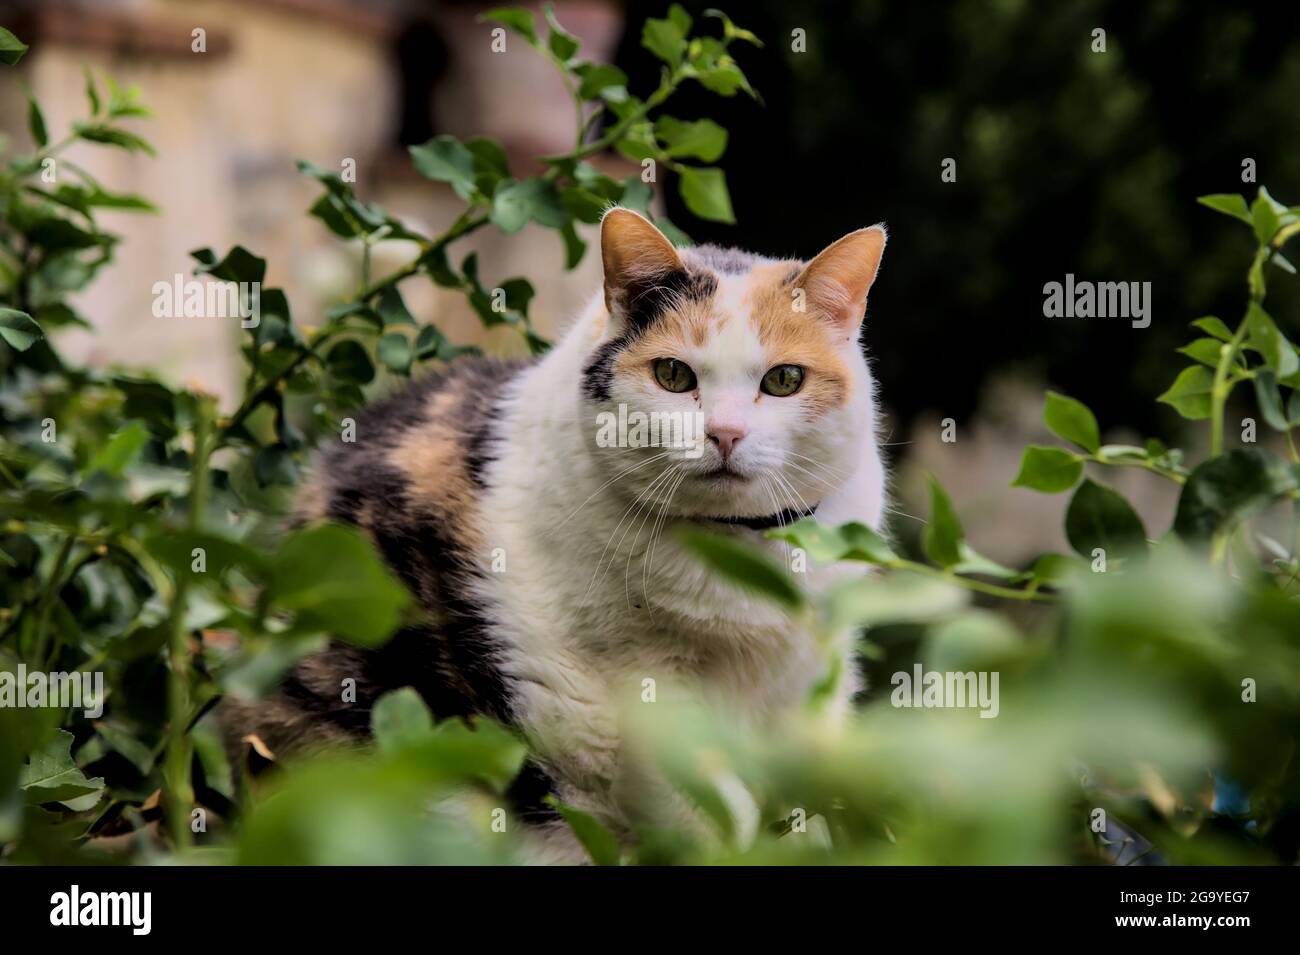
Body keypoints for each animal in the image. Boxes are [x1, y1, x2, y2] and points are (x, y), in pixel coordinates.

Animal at [226, 207, 894, 857]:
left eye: (784, 381)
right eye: (673, 375)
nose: (725, 433)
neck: (736, 554)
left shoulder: (815, 690)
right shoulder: (649, 690)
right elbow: (710, 819)